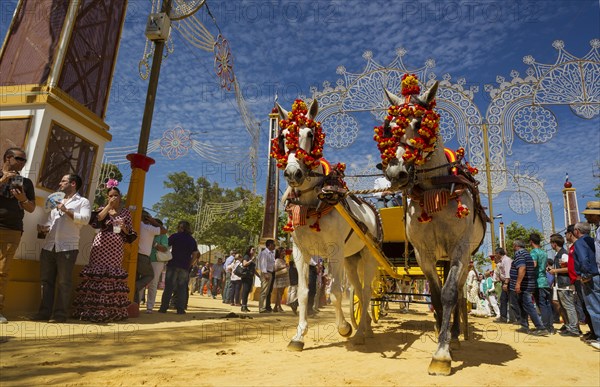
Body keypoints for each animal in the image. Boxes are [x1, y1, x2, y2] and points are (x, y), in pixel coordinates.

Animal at [274, 98, 380, 350]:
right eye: (283, 136)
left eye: (310, 133)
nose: (293, 173)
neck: (315, 202)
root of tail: (370, 210)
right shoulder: (300, 252)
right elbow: (304, 293)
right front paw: (299, 335)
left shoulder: (334, 251)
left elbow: (335, 293)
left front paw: (344, 328)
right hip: (351, 260)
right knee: (358, 291)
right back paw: (367, 327)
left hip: (368, 256)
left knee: (366, 291)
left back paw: (360, 332)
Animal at [378, 79, 490, 376]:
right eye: (389, 127)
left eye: (420, 124)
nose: (396, 173)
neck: (433, 189)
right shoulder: (423, 253)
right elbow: (437, 298)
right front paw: (441, 336)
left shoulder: (459, 249)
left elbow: (449, 295)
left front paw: (442, 354)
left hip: (463, 258)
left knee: (460, 293)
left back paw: (457, 334)